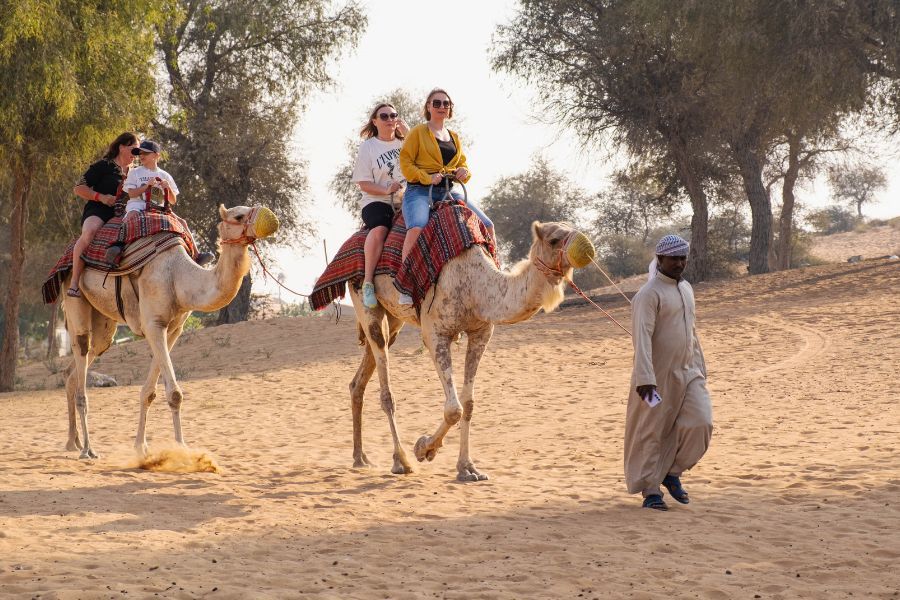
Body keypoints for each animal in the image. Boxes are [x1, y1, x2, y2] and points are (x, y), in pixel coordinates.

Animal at [62, 204, 279, 459]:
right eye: (239, 216)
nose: (272, 221)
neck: (178, 277)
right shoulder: (154, 324)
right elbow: (174, 393)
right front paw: (182, 449)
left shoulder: (174, 328)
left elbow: (149, 392)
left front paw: (141, 447)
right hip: (73, 295)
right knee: (81, 349)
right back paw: (87, 449)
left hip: (104, 321)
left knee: (78, 366)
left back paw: (72, 442)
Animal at [348, 220, 594, 481]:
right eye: (554, 239)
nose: (587, 248)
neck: (477, 287)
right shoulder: (435, 333)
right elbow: (453, 409)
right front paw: (424, 448)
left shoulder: (481, 333)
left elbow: (468, 404)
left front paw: (467, 468)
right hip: (365, 302)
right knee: (385, 384)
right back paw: (401, 461)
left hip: (394, 319)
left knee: (361, 378)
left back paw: (361, 458)